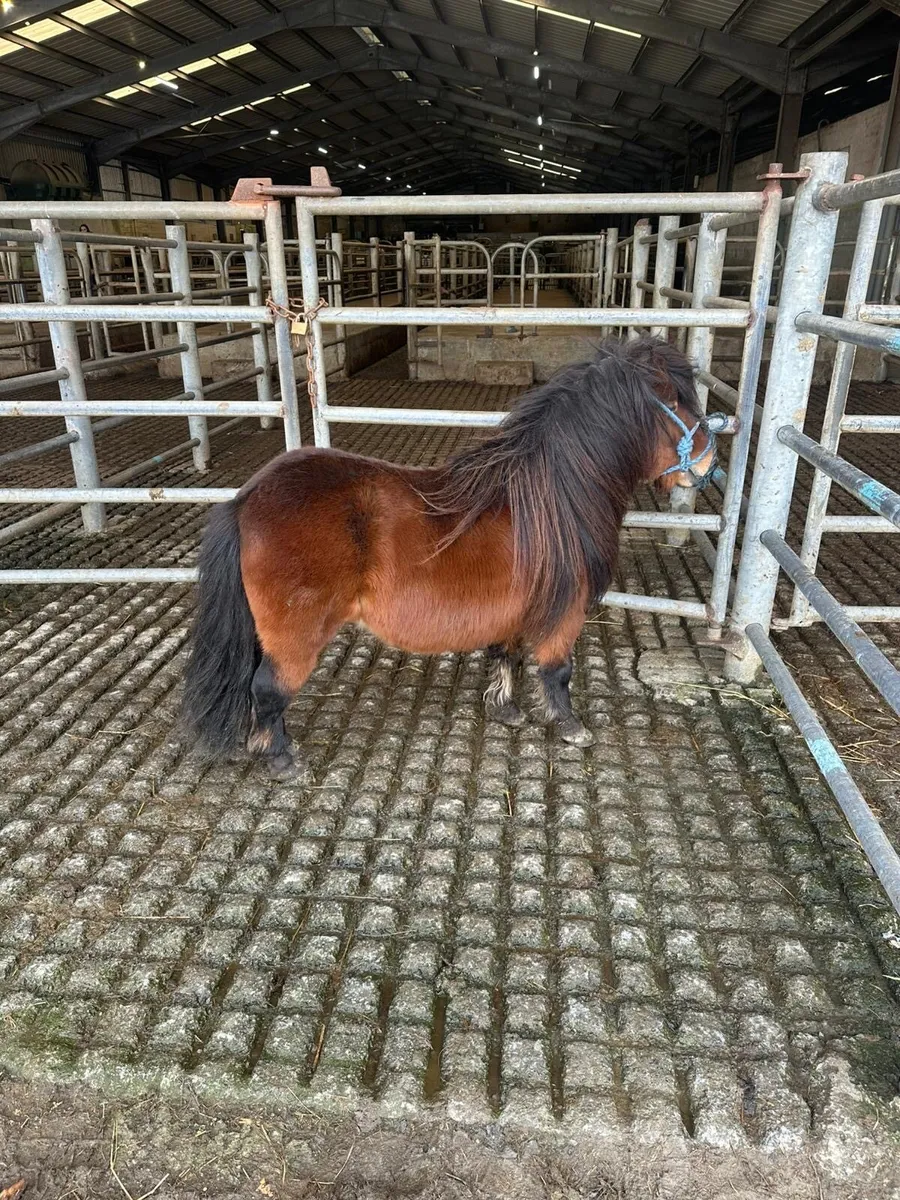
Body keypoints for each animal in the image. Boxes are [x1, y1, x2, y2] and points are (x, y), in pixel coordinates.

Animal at [181, 335, 721, 781]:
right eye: (676, 401)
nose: (711, 462)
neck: (551, 497)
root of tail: (245, 500)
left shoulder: (515, 609)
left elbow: (507, 656)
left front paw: (505, 709)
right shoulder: (564, 611)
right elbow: (556, 670)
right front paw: (571, 727)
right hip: (295, 636)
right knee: (268, 691)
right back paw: (281, 760)